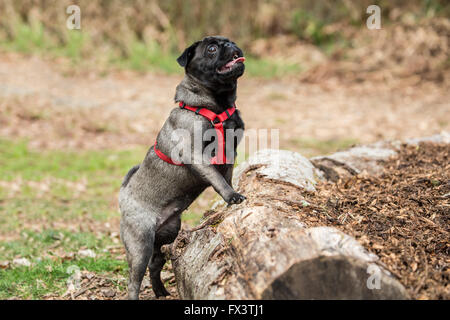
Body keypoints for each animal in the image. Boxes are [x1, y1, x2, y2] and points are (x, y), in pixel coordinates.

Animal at [119, 36, 246, 298]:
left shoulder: (231, 153)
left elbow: (226, 176)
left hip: (168, 233)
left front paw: (229, 198)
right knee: (134, 280)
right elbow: (217, 179)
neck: (216, 105)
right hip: (140, 244)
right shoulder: (196, 154)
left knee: (155, 265)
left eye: (228, 41)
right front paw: (232, 196)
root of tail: (123, 194)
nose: (230, 45)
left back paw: (161, 291)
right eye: (212, 49)